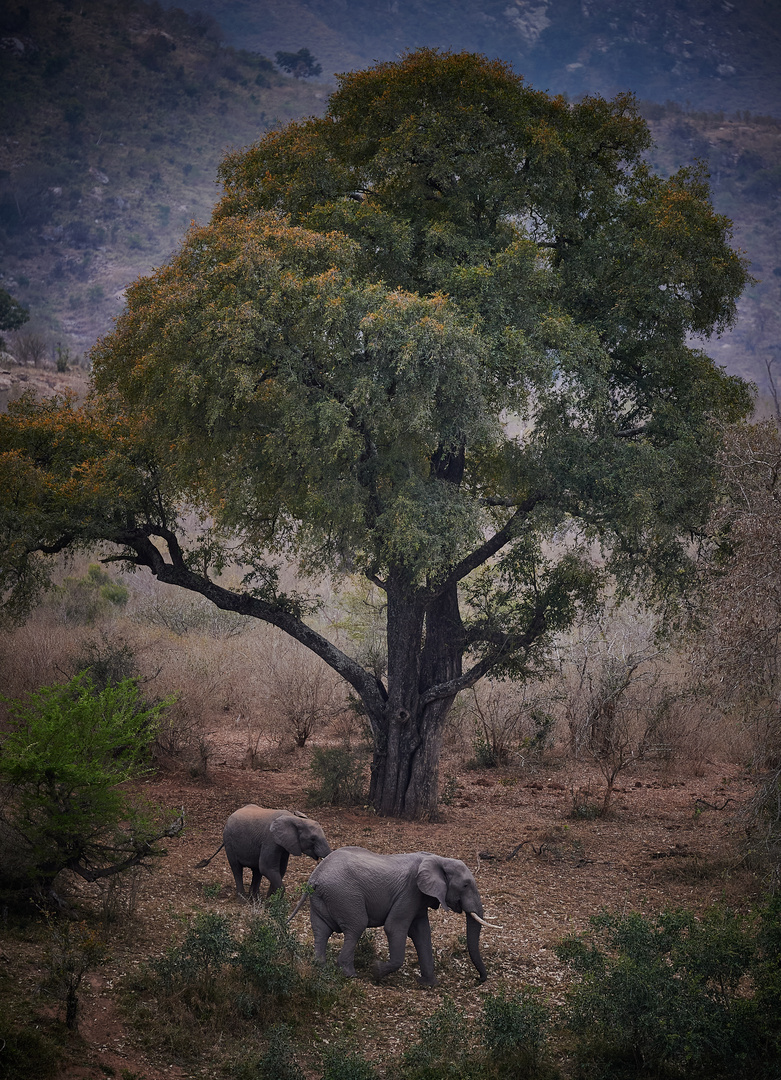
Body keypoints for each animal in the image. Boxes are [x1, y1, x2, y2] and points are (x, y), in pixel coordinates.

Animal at [196, 807, 330, 898]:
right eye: (313, 839)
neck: (295, 818)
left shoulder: (284, 845)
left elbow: (280, 869)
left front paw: (270, 899)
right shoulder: (270, 840)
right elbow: (267, 867)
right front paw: (272, 903)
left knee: (256, 871)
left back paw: (254, 898)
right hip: (229, 841)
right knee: (237, 868)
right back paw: (243, 899)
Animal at [291, 842, 501, 989]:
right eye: (465, 885)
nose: (479, 979)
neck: (439, 859)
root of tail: (314, 877)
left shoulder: (419, 898)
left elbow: (422, 933)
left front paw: (429, 984)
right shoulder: (410, 891)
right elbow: (394, 928)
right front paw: (376, 971)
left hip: (321, 898)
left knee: (321, 931)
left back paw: (320, 966)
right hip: (344, 895)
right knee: (356, 926)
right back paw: (350, 974)